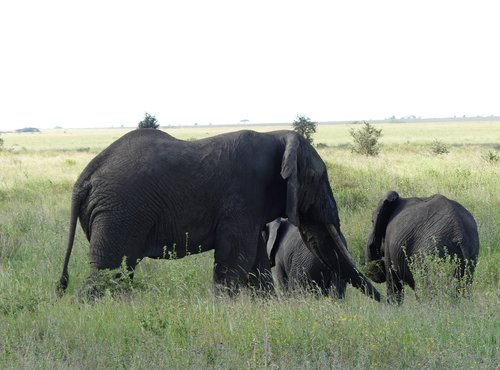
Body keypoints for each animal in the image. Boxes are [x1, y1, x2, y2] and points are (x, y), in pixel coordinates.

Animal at [56, 129, 380, 300]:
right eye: (318, 178)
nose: (386, 302)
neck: (275, 137)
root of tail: (83, 178)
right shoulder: (242, 196)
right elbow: (235, 262)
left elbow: (257, 267)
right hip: (120, 211)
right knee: (108, 272)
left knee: (120, 272)